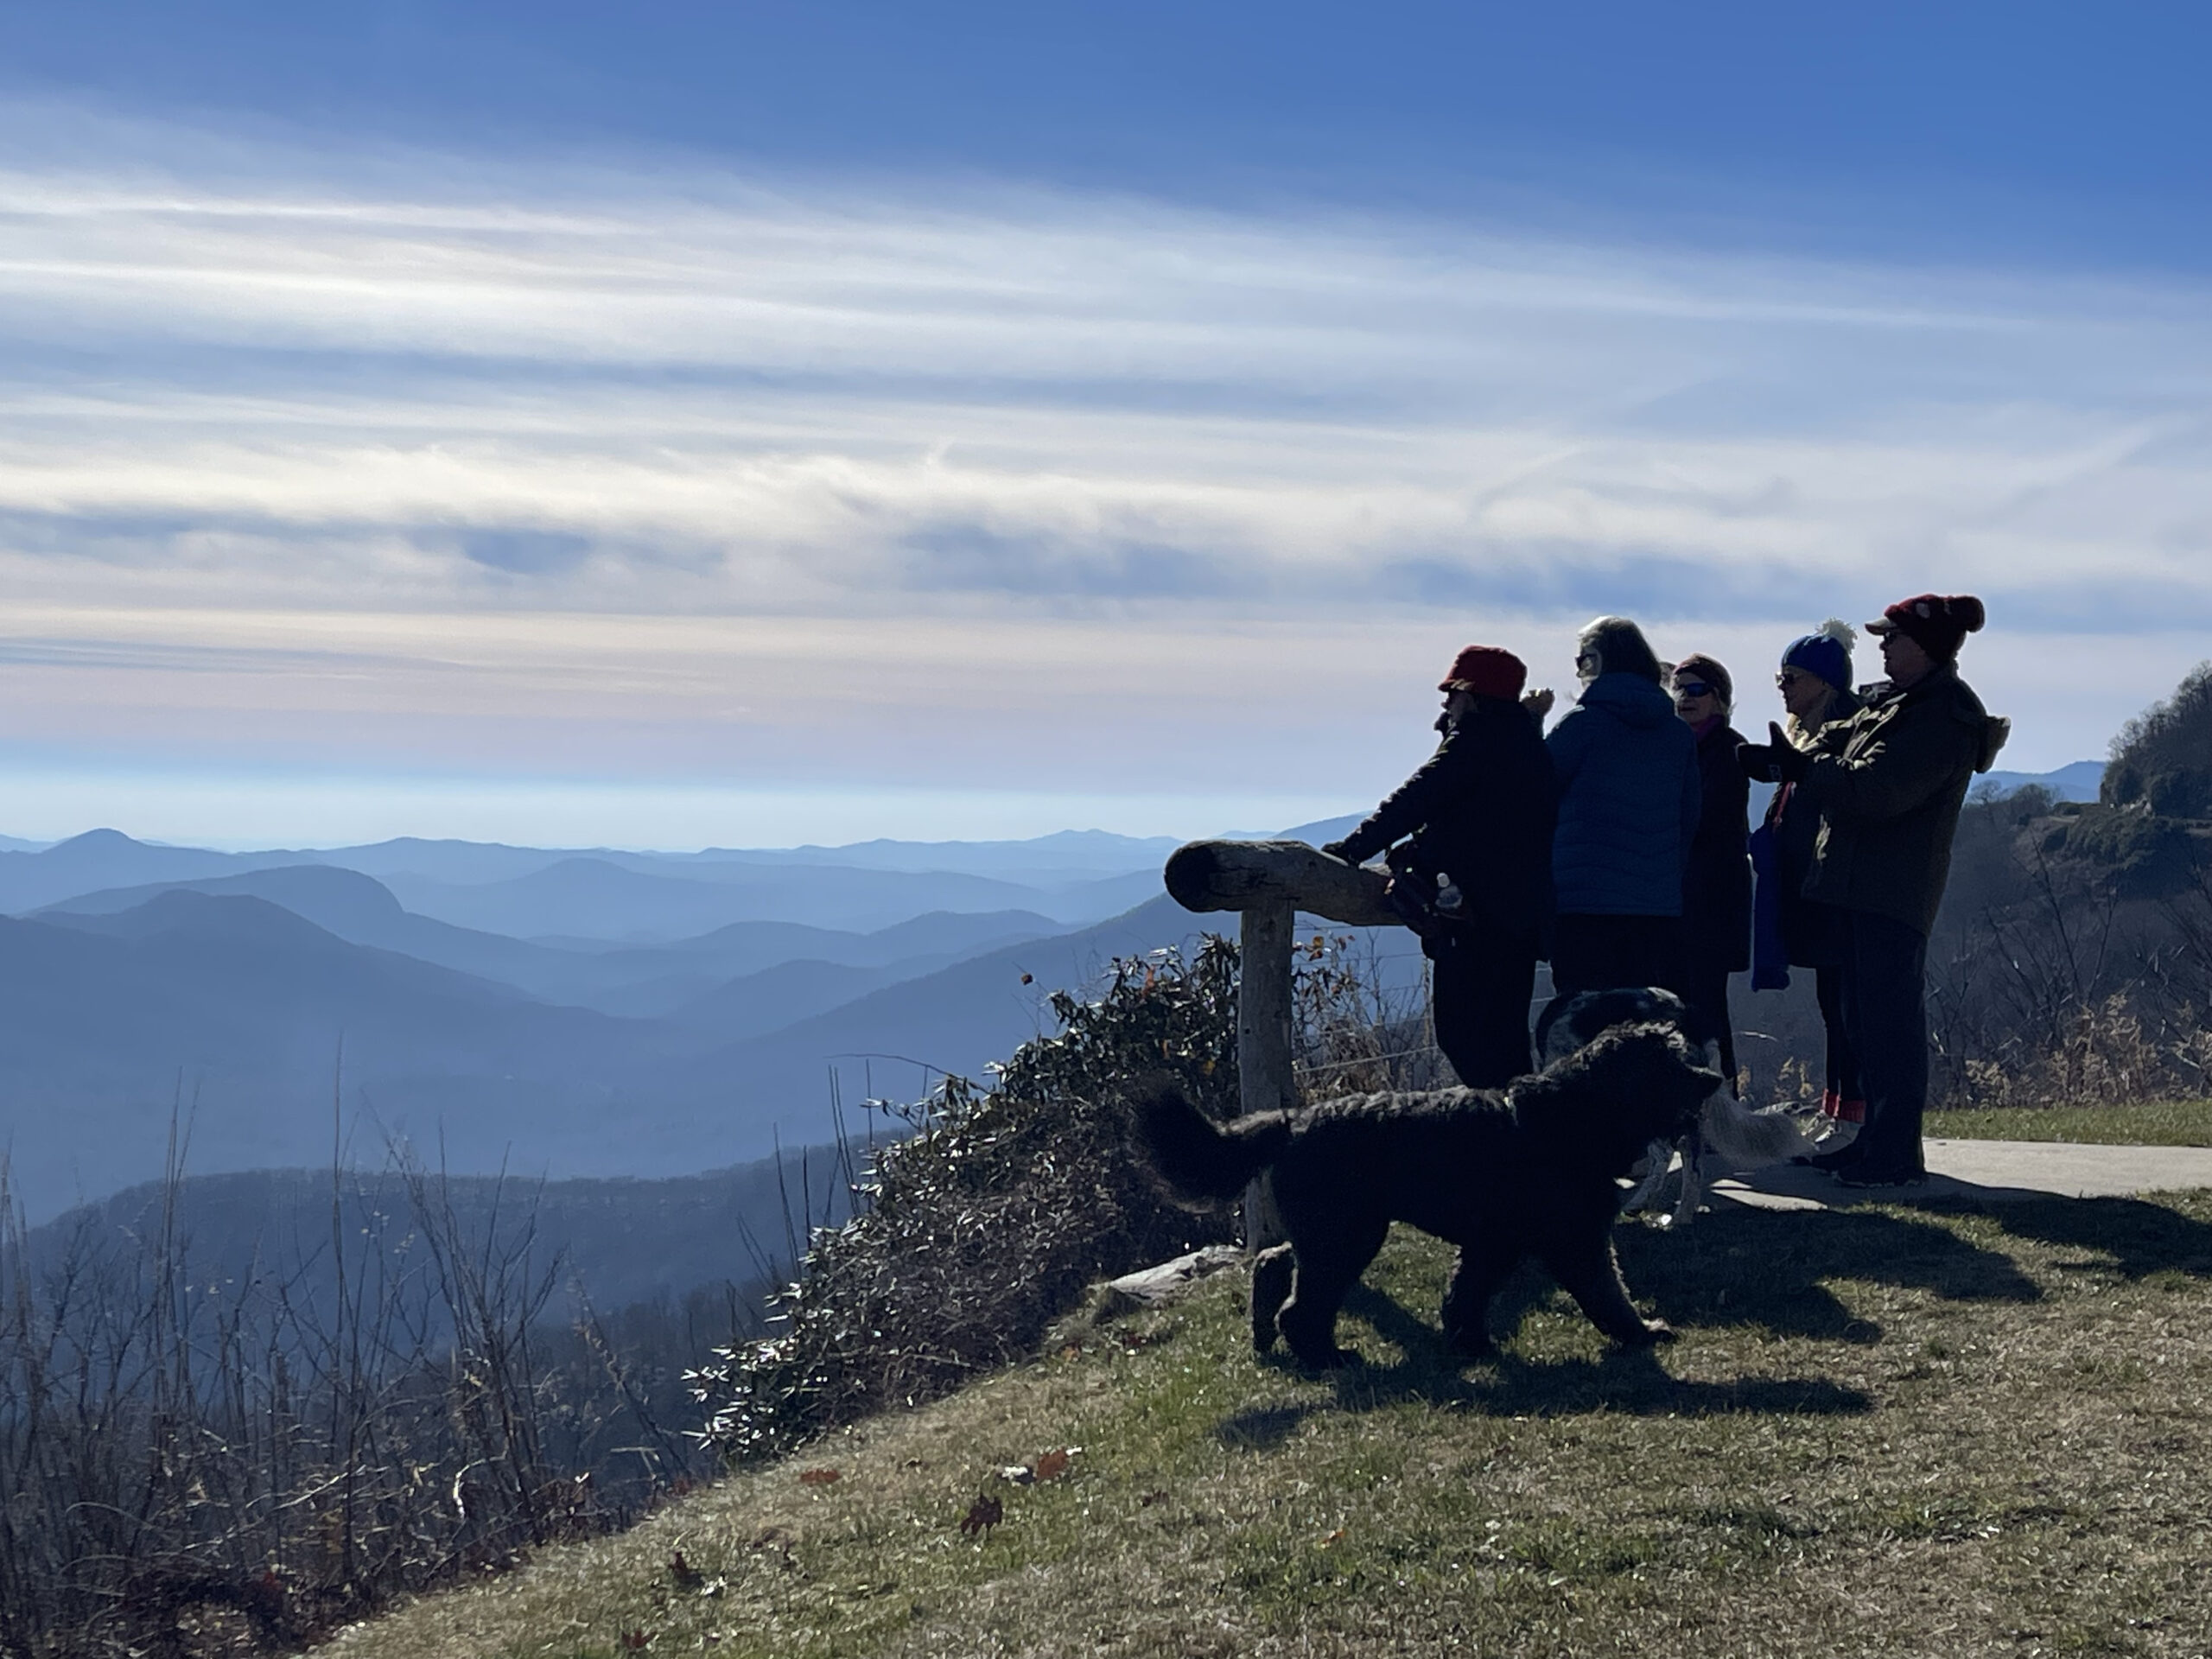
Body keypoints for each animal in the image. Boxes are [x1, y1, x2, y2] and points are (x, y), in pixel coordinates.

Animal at [1132, 1035, 1716, 1371]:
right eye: (1671, 1063)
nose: (1712, 1078)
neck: (1574, 1112)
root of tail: (1292, 1122)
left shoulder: (1494, 1243)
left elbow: (1466, 1295)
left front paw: (1471, 1343)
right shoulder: (1576, 1238)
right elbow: (1608, 1295)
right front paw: (1642, 1334)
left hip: (1330, 1231)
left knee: (1274, 1260)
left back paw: (1266, 1329)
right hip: (1347, 1236)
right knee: (1303, 1305)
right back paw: (1326, 1357)